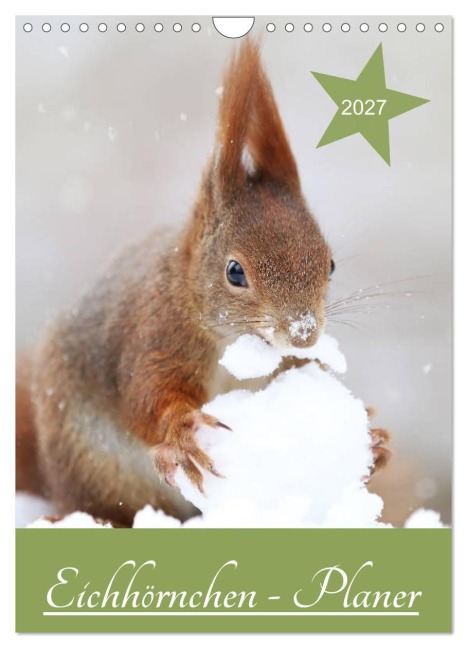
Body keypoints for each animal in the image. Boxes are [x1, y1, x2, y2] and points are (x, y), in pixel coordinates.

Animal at [16, 40, 390, 528]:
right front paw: (181, 434)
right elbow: (148, 397)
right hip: (94, 470)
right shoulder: (154, 337)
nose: (303, 334)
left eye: (329, 264)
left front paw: (375, 442)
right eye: (235, 272)